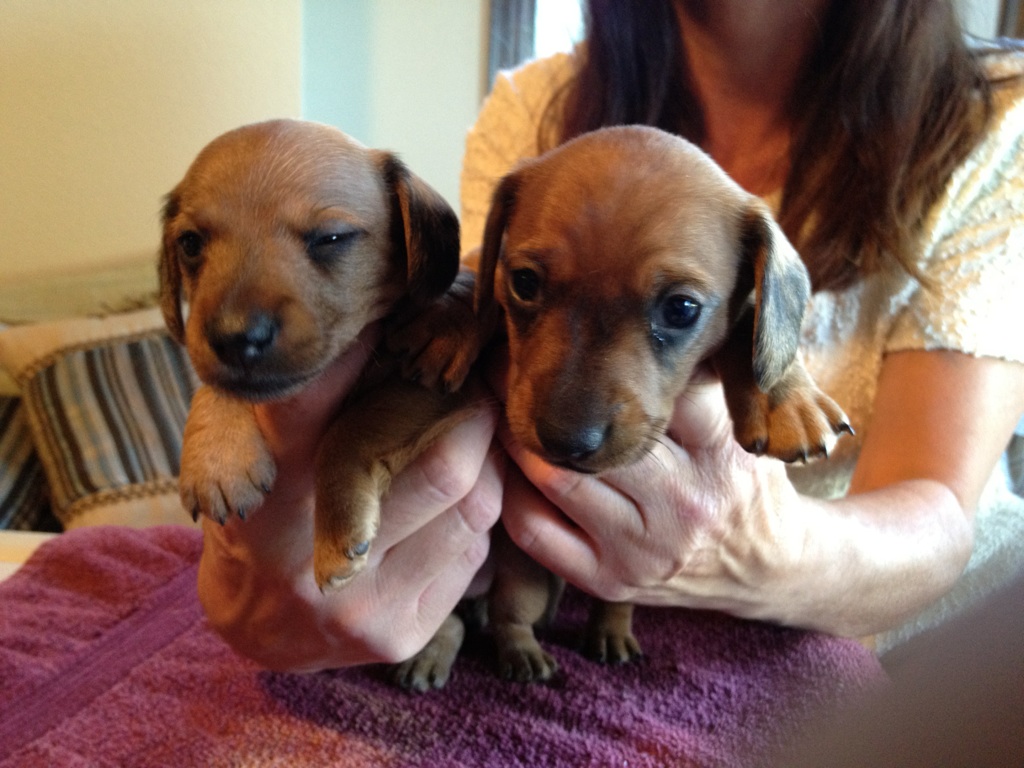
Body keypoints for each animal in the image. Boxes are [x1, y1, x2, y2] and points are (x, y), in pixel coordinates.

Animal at [159, 118, 479, 589]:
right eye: (190, 243)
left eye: (331, 238)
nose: (234, 337)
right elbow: (216, 384)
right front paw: (216, 455)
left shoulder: (437, 392)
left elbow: (349, 428)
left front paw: (334, 533)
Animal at [419, 126, 851, 684]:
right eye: (525, 283)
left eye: (682, 309)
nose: (565, 441)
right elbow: (479, 273)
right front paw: (452, 318)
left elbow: (750, 328)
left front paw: (785, 397)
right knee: (502, 613)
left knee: (605, 599)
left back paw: (607, 632)